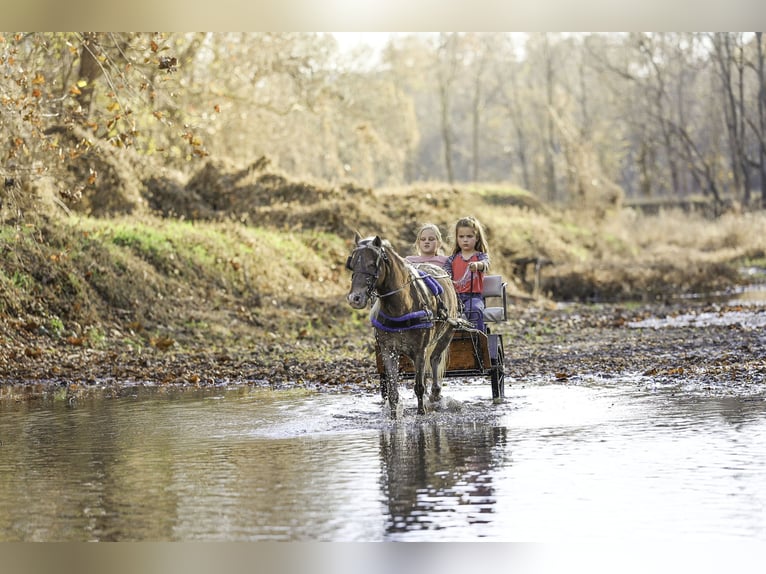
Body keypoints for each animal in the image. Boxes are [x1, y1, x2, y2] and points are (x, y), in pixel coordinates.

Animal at [345, 233, 459, 416]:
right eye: (352, 264)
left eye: (372, 264)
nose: (354, 298)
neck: (401, 306)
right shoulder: (388, 351)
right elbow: (393, 391)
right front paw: (393, 416)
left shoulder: (420, 350)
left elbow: (419, 386)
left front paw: (421, 412)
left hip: (446, 334)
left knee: (435, 359)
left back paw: (435, 393)